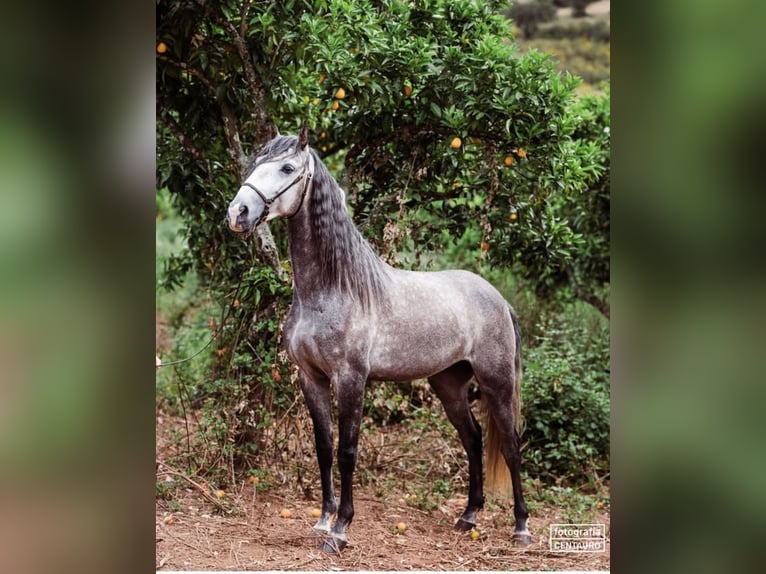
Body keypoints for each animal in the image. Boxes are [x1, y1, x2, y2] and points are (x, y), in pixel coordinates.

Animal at [226, 125, 531, 553]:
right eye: (256, 162)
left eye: (287, 168)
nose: (238, 213)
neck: (332, 290)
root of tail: (498, 298)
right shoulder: (311, 378)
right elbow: (324, 448)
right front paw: (323, 520)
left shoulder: (351, 379)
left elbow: (347, 451)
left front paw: (340, 529)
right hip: (449, 384)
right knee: (472, 439)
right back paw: (468, 516)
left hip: (496, 382)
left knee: (510, 445)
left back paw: (521, 527)